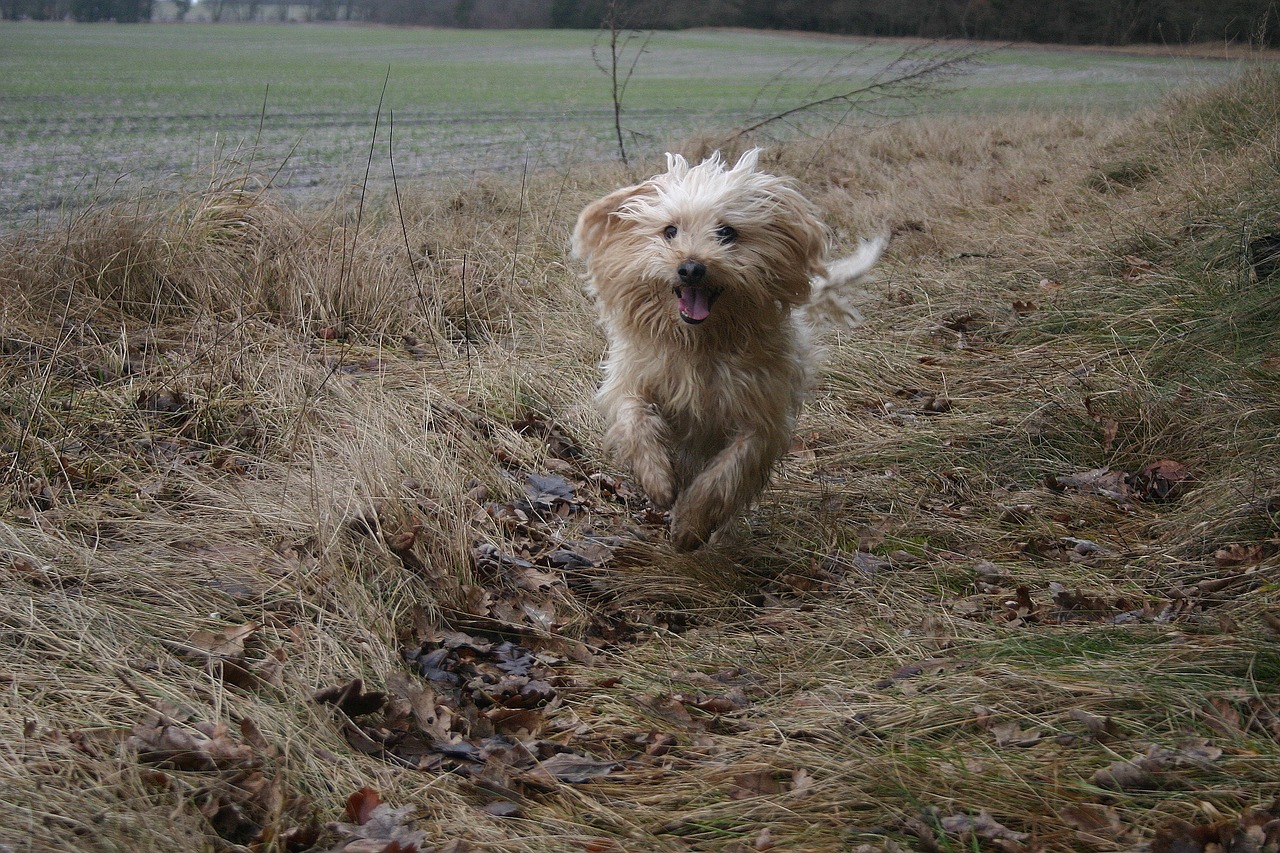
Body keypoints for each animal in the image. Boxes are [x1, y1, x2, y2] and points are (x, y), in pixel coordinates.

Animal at [573, 148, 880, 548]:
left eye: (726, 232)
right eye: (670, 230)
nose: (691, 268)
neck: (700, 344)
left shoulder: (760, 418)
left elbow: (727, 472)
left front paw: (691, 525)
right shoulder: (632, 379)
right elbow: (635, 419)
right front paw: (657, 479)